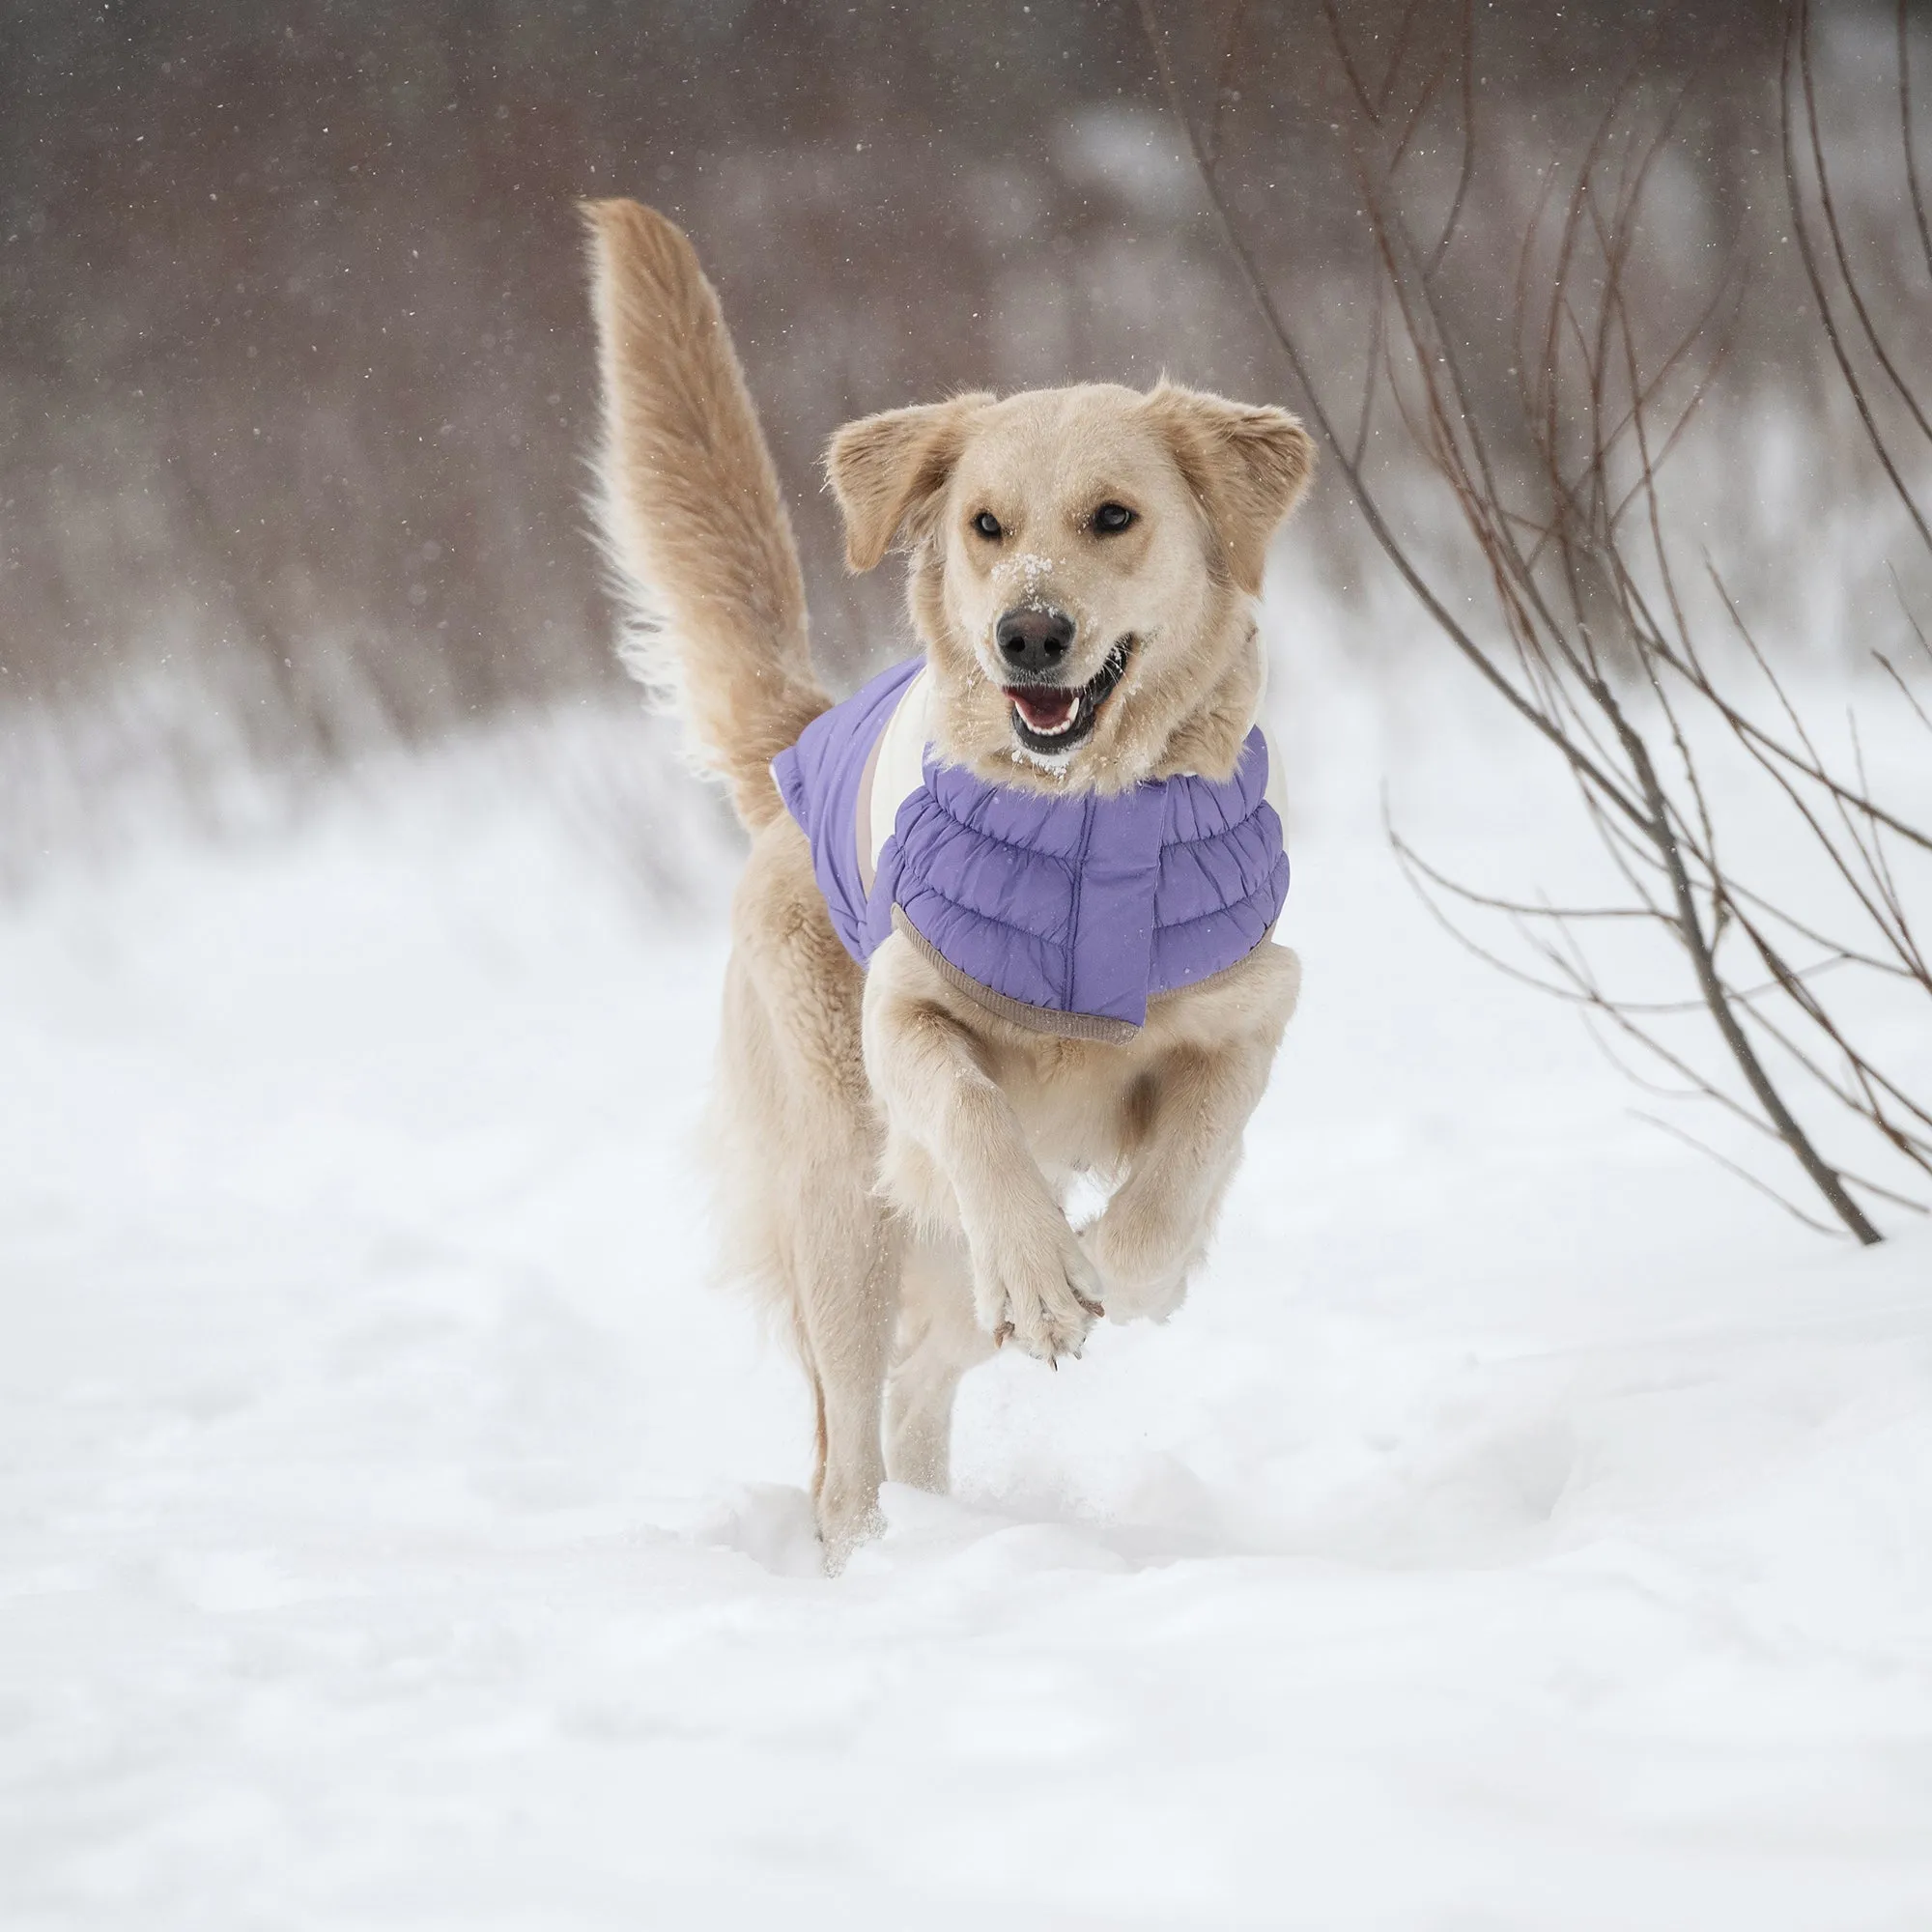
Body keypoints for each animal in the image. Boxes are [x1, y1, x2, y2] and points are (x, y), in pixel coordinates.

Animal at [583, 200, 1314, 1569]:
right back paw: (875, 1552)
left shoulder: (1253, 1005)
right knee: (847, 1438)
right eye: (985, 525)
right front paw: (1041, 1268)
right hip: (844, 1196)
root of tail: (803, 742)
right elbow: (970, 1108)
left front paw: (1110, 1267)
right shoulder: (904, 1011)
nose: (1028, 633)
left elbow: (1174, 1187)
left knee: (921, 1374)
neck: (1085, 826)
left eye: (1112, 517)